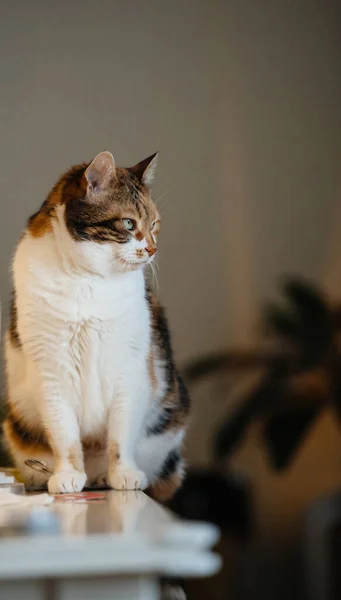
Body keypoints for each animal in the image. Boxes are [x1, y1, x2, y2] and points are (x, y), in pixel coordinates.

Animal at [3, 150, 189, 496]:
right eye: (128, 223)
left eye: (154, 224)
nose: (152, 249)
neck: (88, 279)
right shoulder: (51, 373)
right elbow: (64, 436)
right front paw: (67, 475)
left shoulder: (130, 370)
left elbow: (120, 436)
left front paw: (124, 474)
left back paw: (103, 477)